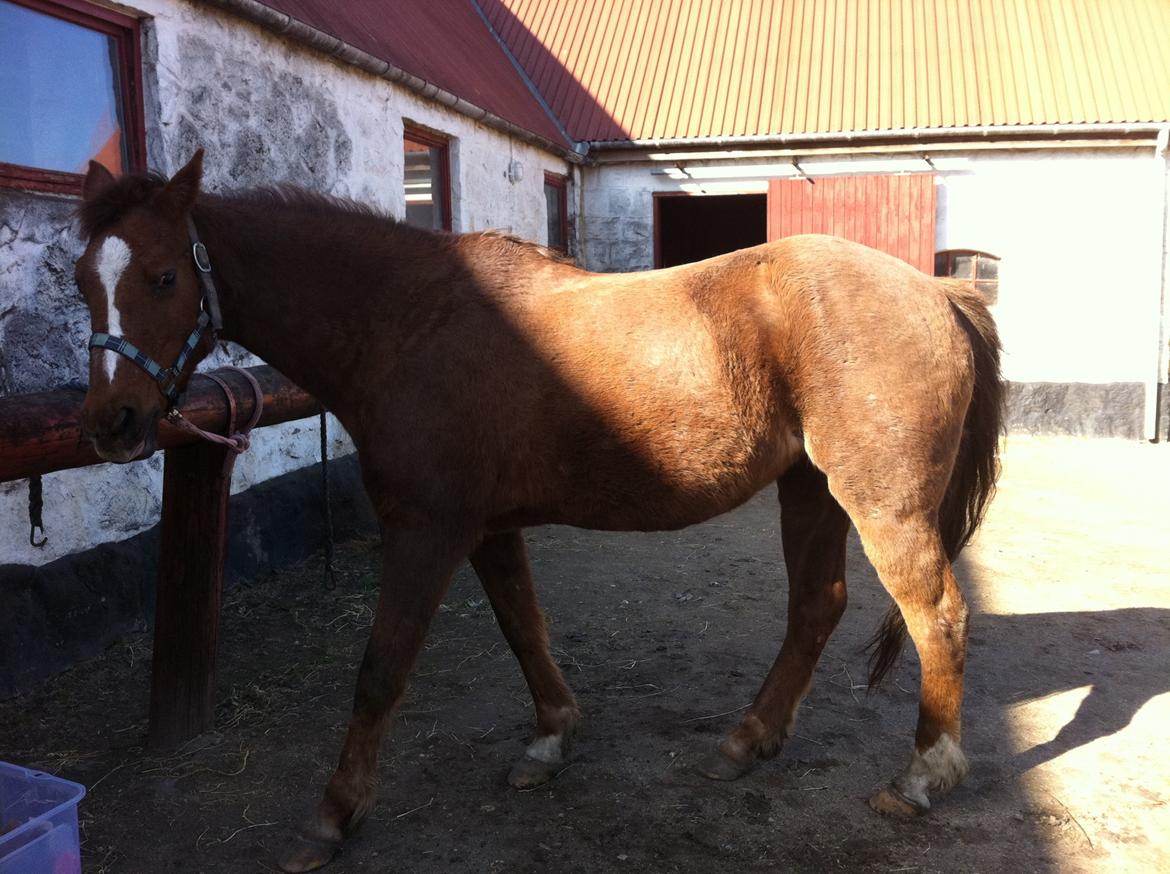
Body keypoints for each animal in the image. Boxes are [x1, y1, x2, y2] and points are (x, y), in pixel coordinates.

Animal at [73, 151, 1002, 872]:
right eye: (83, 280)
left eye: (163, 276)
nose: (112, 424)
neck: (408, 321)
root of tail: (939, 295)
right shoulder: (487, 528)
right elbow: (524, 627)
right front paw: (552, 739)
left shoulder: (428, 530)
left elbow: (381, 671)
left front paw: (332, 817)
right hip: (811, 488)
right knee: (817, 607)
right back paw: (747, 743)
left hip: (881, 504)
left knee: (937, 616)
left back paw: (921, 777)